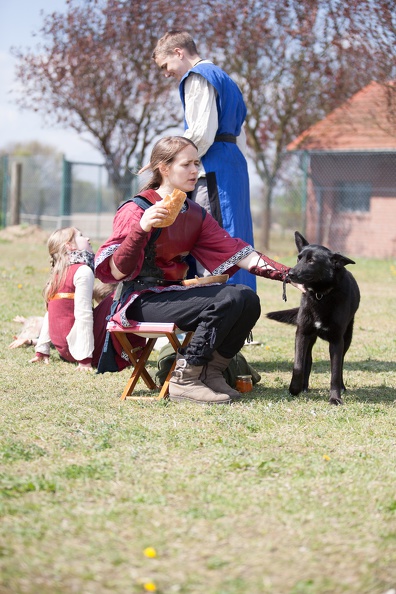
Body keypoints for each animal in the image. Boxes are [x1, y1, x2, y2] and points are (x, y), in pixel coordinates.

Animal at [268, 230, 360, 402]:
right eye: (299, 258)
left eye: (311, 261)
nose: (289, 274)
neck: (320, 295)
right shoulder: (302, 334)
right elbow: (298, 365)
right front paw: (294, 389)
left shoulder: (337, 341)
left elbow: (335, 372)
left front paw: (335, 398)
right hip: (310, 338)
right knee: (308, 360)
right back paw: (303, 387)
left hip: (347, 338)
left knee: (341, 363)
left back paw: (342, 387)